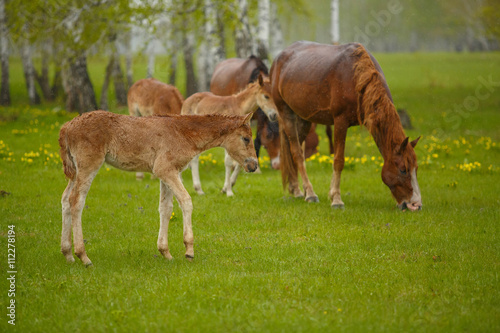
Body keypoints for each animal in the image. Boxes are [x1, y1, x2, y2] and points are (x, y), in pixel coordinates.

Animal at [270, 40, 422, 209]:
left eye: (416, 169)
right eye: (403, 170)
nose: (416, 205)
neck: (356, 78)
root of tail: (278, 59)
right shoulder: (340, 122)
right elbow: (338, 161)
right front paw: (336, 199)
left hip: (304, 119)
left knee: (291, 151)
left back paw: (296, 189)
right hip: (286, 112)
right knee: (297, 152)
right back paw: (310, 193)